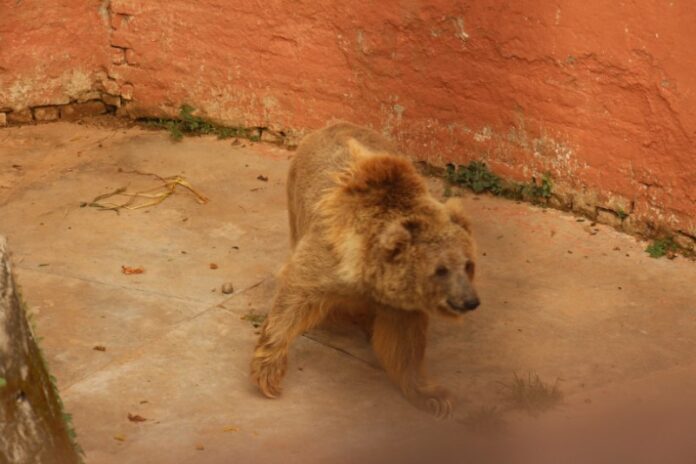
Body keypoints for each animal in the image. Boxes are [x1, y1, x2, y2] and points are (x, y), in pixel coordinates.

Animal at [249, 121, 478, 418]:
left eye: (469, 264)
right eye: (441, 269)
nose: (470, 300)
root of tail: (330, 124)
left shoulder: (400, 302)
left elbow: (405, 344)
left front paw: (433, 396)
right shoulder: (326, 258)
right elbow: (294, 296)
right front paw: (269, 375)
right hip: (296, 203)